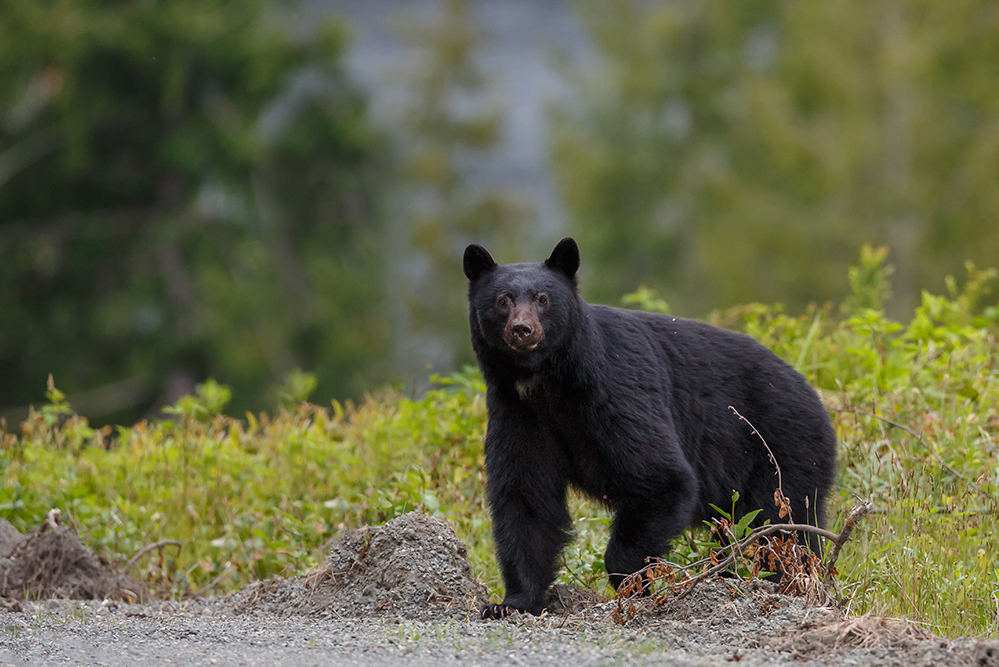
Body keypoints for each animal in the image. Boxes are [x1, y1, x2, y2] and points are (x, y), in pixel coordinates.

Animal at [464, 239, 840, 620]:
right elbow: (526, 498)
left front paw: (633, 584)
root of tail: (817, 399)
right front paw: (511, 603)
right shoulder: (518, 413)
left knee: (777, 526)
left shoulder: (617, 391)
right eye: (502, 300)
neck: (548, 383)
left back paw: (782, 580)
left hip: (781, 451)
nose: (522, 330)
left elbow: (660, 477)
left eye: (543, 299)